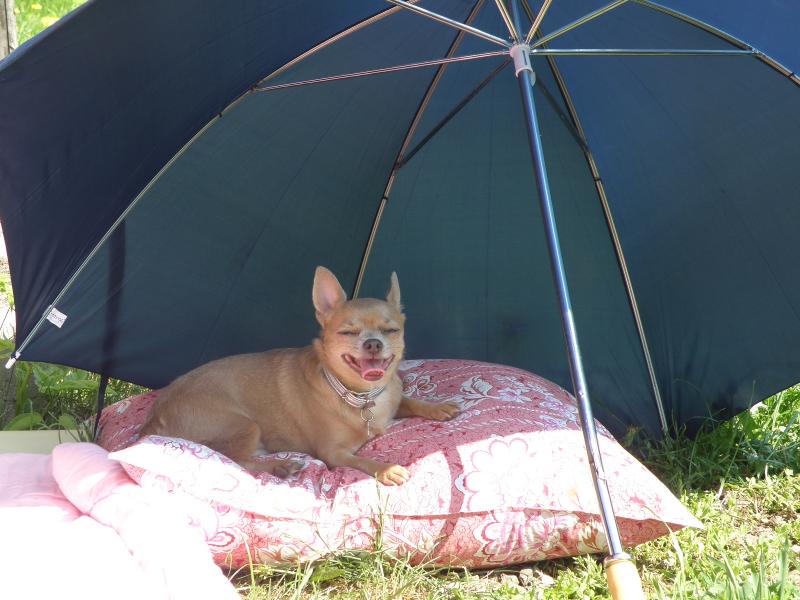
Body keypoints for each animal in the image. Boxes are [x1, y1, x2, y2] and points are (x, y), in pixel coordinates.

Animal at [139, 266, 460, 485]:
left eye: (391, 330)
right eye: (348, 332)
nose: (373, 343)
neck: (362, 397)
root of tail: (153, 420)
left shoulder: (391, 400)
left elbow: (408, 400)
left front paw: (437, 407)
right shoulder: (334, 454)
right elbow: (363, 459)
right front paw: (387, 468)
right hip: (244, 424)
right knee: (235, 461)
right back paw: (280, 467)